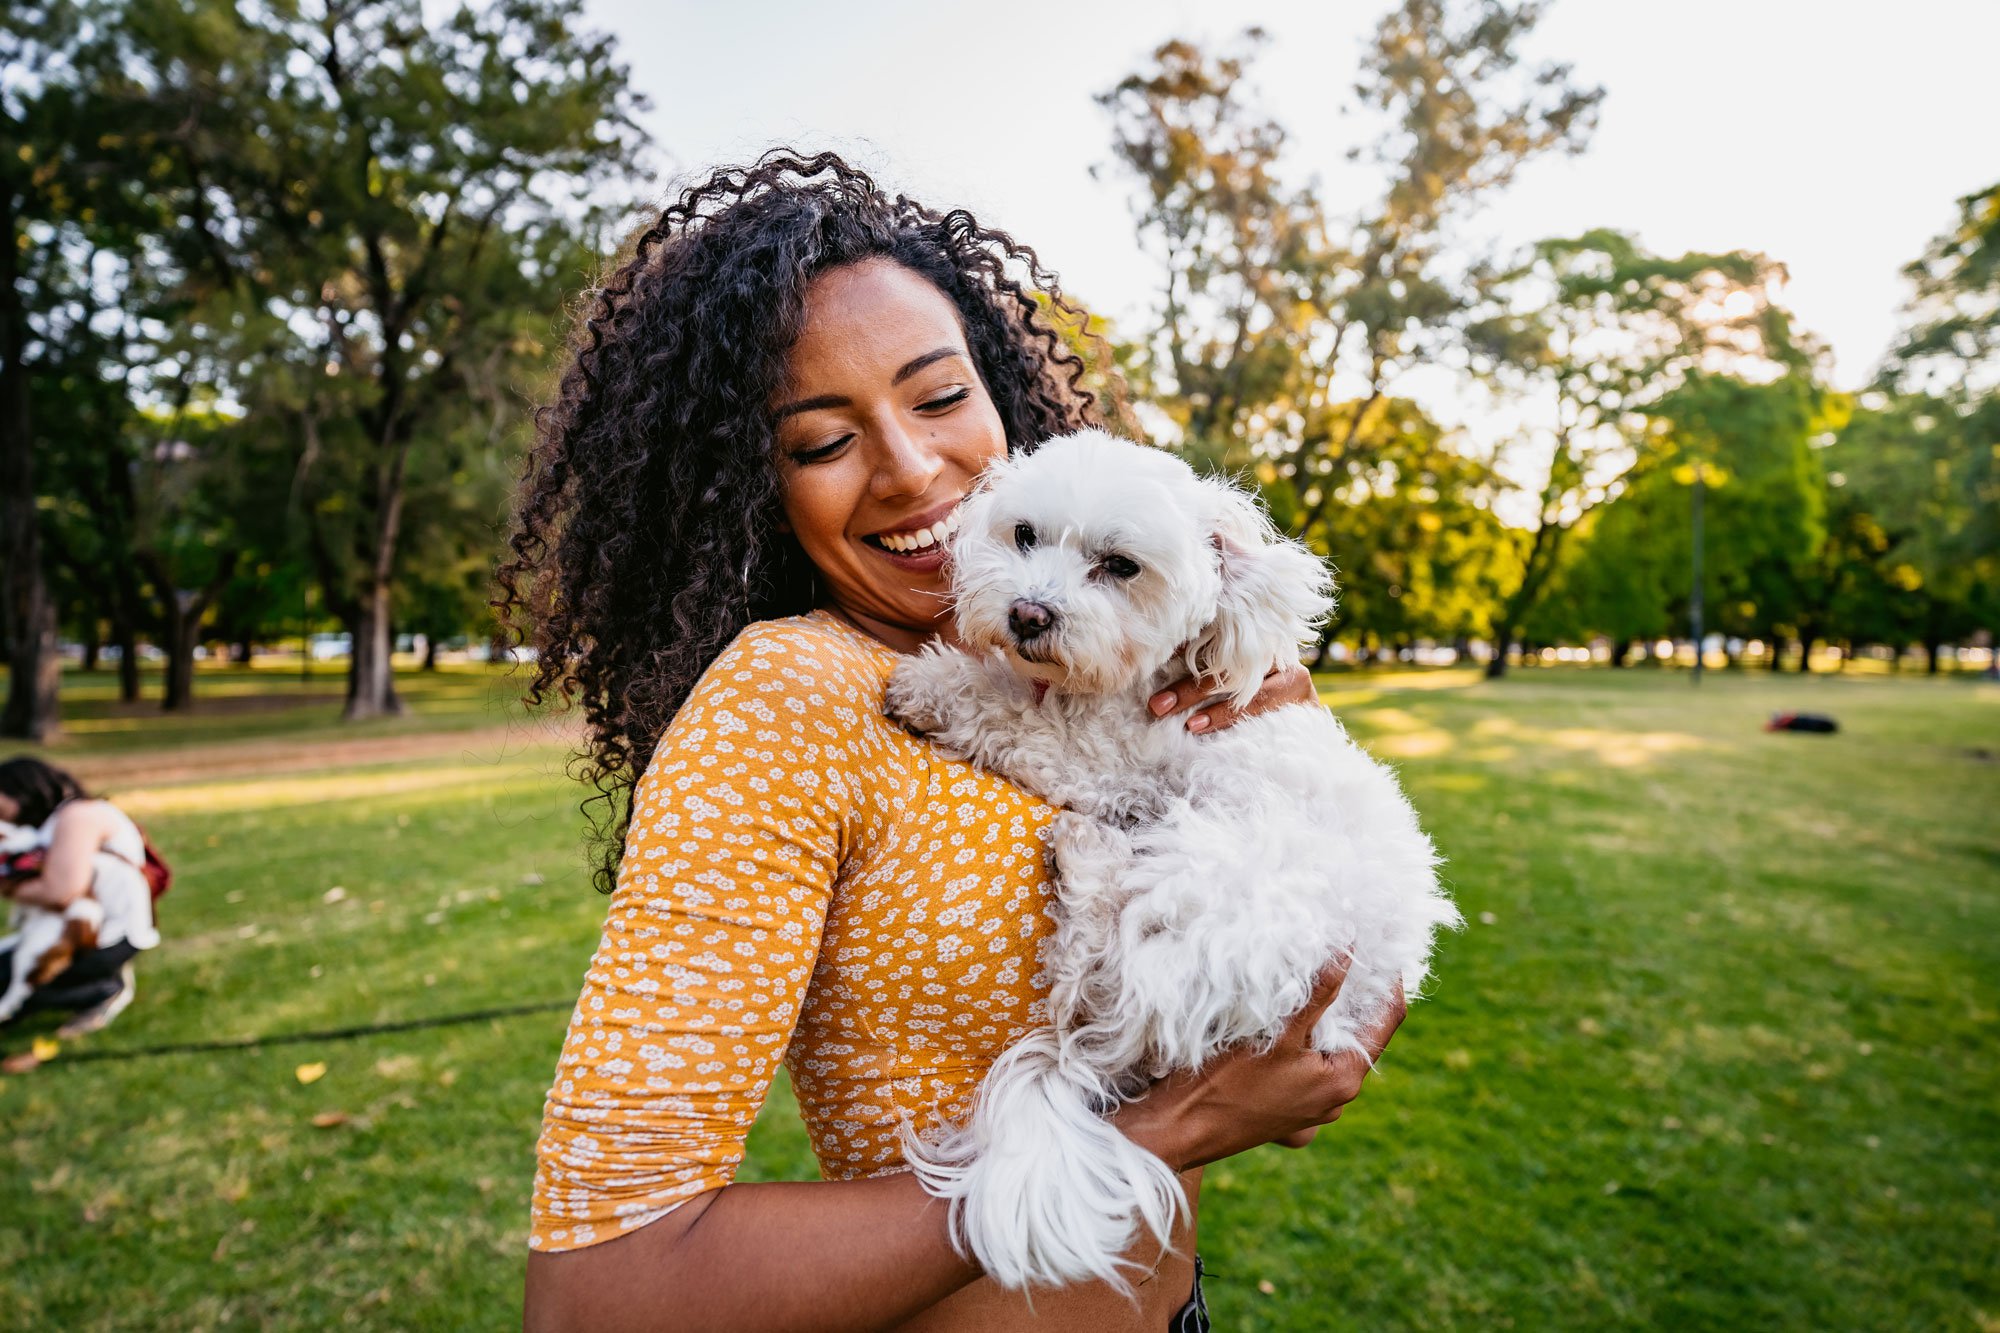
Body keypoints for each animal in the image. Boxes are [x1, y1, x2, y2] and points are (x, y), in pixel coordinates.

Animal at [884, 430, 1464, 1280]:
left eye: (1120, 565)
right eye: (1024, 535)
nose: (1028, 613)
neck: (1137, 683)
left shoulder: (1103, 757)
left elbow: (1011, 716)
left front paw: (931, 684)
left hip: (1219, 881)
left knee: (1095, 973)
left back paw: (1087, 857)